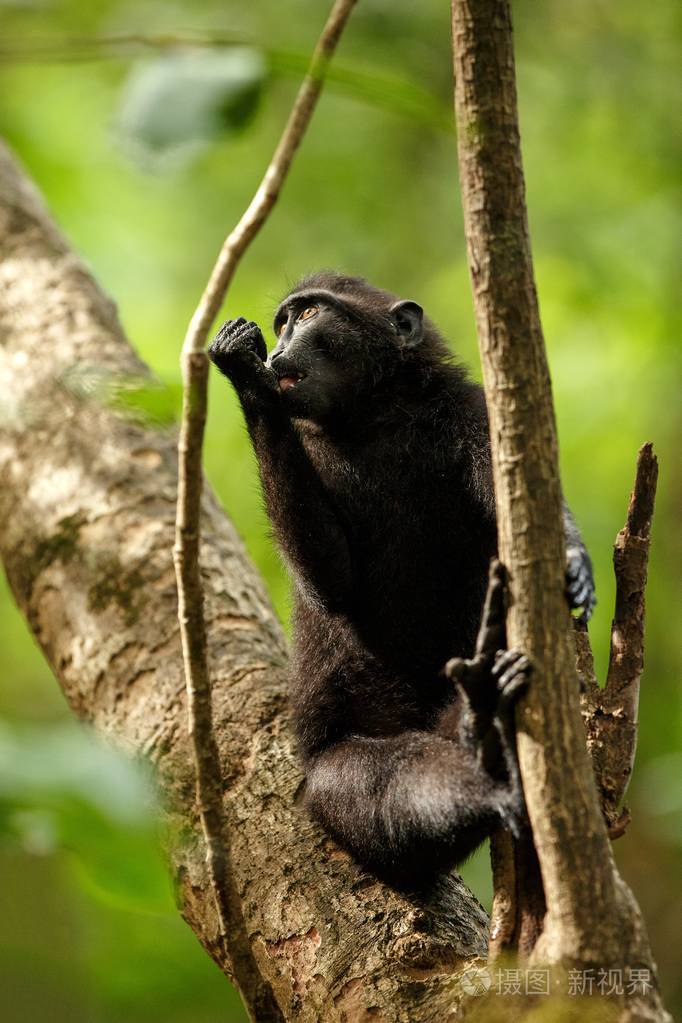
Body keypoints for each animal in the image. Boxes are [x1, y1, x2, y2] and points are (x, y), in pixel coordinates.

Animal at [208, 271, 595, 886]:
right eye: (282, 322)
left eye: (307, 314)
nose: (276, 349)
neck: (376, 417)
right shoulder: (312, 446)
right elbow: (330, 582)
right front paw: (245, 374)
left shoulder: (471, 413)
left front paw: (574, 562)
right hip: (334, 772)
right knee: (382, 786)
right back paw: (483, 742)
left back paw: (483, 713)